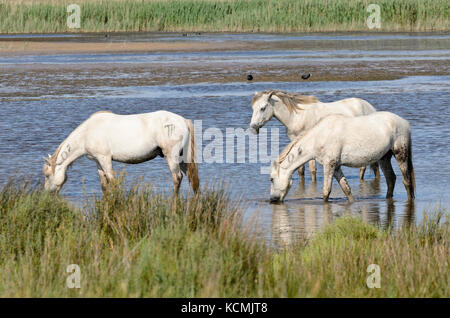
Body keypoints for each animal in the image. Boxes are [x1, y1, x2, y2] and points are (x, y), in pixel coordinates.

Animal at [43, 109, 199, 194]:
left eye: (47, 175)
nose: (47, 193)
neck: (87, 133)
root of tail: (183, 121)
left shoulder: (105, 159)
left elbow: (112, 181)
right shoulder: (98, 161)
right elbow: (104, 185)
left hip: (171, 156)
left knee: (177, 178)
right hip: (183, 157)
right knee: (193, 180)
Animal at [250, 90, 380, 183]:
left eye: (262, 108)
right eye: (253, 108)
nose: (253, 127)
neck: (297, 116)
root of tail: (370, 107)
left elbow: (312, 170)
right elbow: (300, 170)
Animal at [270, 110, 414, 202]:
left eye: (271, 179)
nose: (273, 200)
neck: (319, 137)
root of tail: (405, 123)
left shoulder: (329, 165)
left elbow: (326, 191)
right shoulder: (336, 167)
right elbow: (346, 189)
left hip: (400, 154)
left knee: (406, 181)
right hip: (384, 158)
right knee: (391, 179)